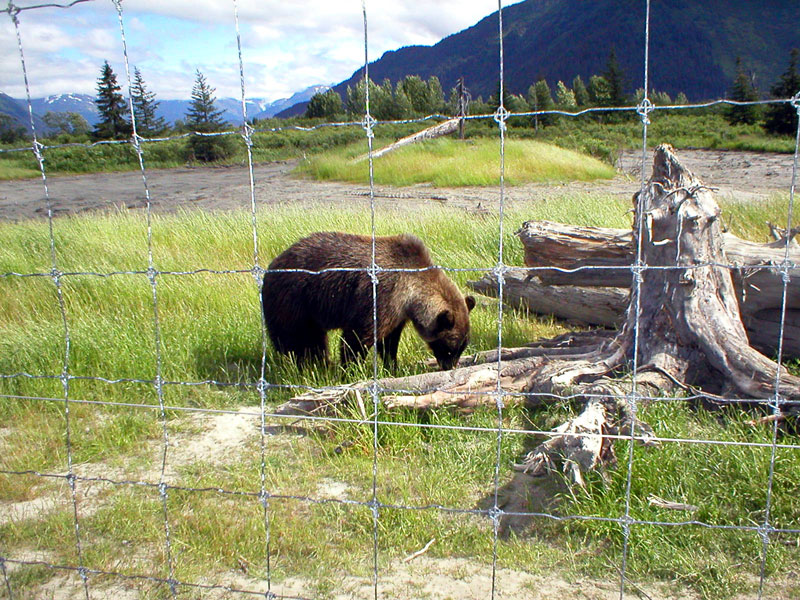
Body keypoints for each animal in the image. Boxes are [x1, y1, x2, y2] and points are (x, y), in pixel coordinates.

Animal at [261, 231, 476, 371]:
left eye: (462, 347)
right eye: (449, 347)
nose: (449, 366)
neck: (411, 293)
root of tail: (271, 266)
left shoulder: (397, 313)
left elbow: (389, 342)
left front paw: (392, 366)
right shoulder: (381, 296)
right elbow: (358, 336)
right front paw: (350, 369)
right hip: (294, 300)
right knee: (296, 338)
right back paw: (308, 366)